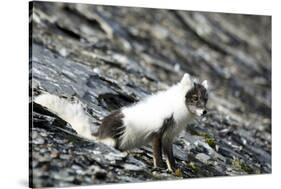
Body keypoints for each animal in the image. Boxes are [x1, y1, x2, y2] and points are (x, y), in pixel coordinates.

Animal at [34, 73, 207, 172]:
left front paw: (175, 170)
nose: (205, 112)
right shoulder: (158, 132)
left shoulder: (169, 136)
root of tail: (99, 132)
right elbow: (158, 154)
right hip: (113, 137)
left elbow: (170, 156)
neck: (178, 110)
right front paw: (160, 167)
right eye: (195, 98)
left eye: (205, 100)